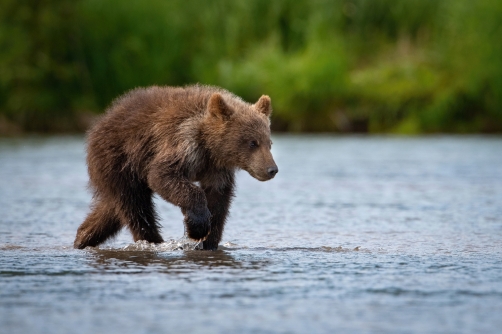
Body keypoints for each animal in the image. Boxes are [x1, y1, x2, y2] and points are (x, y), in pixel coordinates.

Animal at [73, 85, 278, 249]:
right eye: (252, 143)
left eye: (269, 143)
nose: (272, 169)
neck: (210, 148)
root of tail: (99, 122)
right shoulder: (182, 143)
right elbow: (162, 175)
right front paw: (197, 226)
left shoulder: (216, 169)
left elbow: (219, 199)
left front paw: (208, 239)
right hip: (120, 160)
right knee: (135, 205)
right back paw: (153, 240)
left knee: (112, 209)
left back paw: (83, 237)